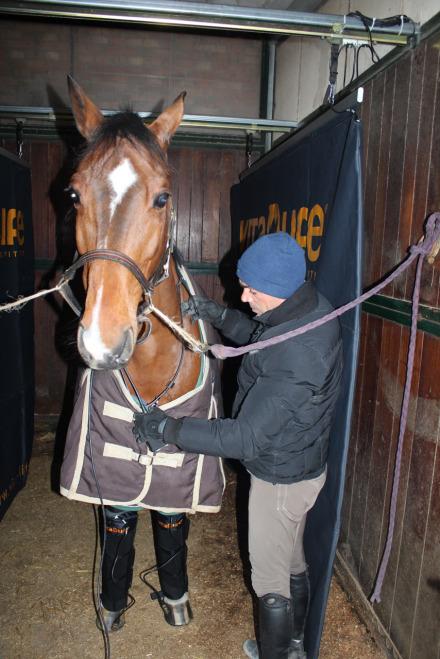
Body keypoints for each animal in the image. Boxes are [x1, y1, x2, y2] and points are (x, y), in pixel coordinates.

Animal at [60, 76, 225, 636]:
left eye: (162, 197)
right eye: (72, 194)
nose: (103, 340)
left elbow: (170, 521)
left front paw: (175, 596)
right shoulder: (107, 453)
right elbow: (120, 518)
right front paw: (112, 603)